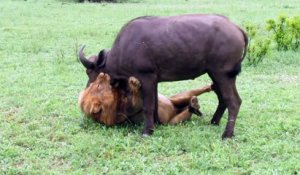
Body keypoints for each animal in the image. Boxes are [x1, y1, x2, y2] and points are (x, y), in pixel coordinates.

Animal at [78, 72, 212, 126]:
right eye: (99, 86)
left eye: (93, 84)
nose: (101, 73)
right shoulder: (130, 109)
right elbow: (135, 98)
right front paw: (134, 83)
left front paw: (132, 81)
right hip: (173, 122)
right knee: (189, 108)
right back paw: (194, 104)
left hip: (179, 97)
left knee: (195, 93)